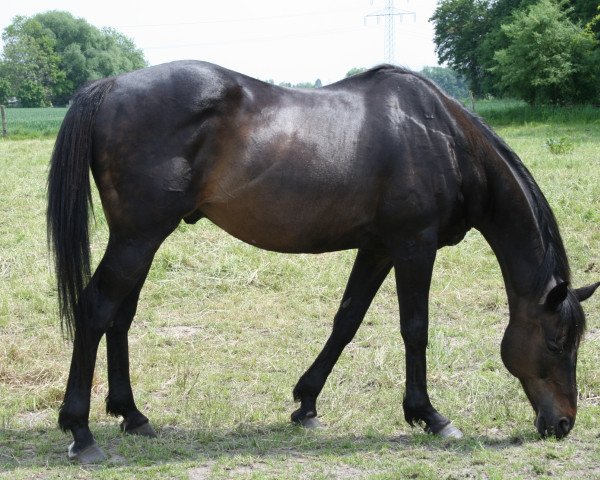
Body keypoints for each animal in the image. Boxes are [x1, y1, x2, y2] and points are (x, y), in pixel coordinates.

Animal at [45, 60, 596, 462]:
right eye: (556, 341)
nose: (563, 424)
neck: (444, 140)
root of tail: (110, 85)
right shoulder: (414, 246)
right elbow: (415, 328)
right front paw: (429, 416)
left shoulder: (378, 248)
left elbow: (346, 320)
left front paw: (306, 403)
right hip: (139, 237)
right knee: (96, 310)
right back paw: (81, 432)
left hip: (140, 239)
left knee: (119, 316)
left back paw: (132, 416)